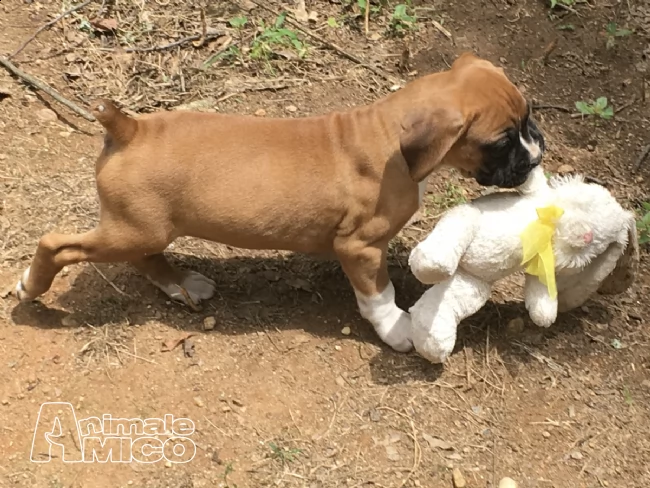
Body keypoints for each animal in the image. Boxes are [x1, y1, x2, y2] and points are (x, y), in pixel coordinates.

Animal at [13, 52, 540, 350]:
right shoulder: (359, 248)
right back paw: (30, 286)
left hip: (142, 228)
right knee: (57, 244)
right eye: (500, 142)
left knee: (146, 258)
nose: (538, 156)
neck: (391, 133)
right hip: (131, 229)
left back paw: (182, 284)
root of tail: (131, 128)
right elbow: (379, 295)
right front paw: (397, 330)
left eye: (528, 117)